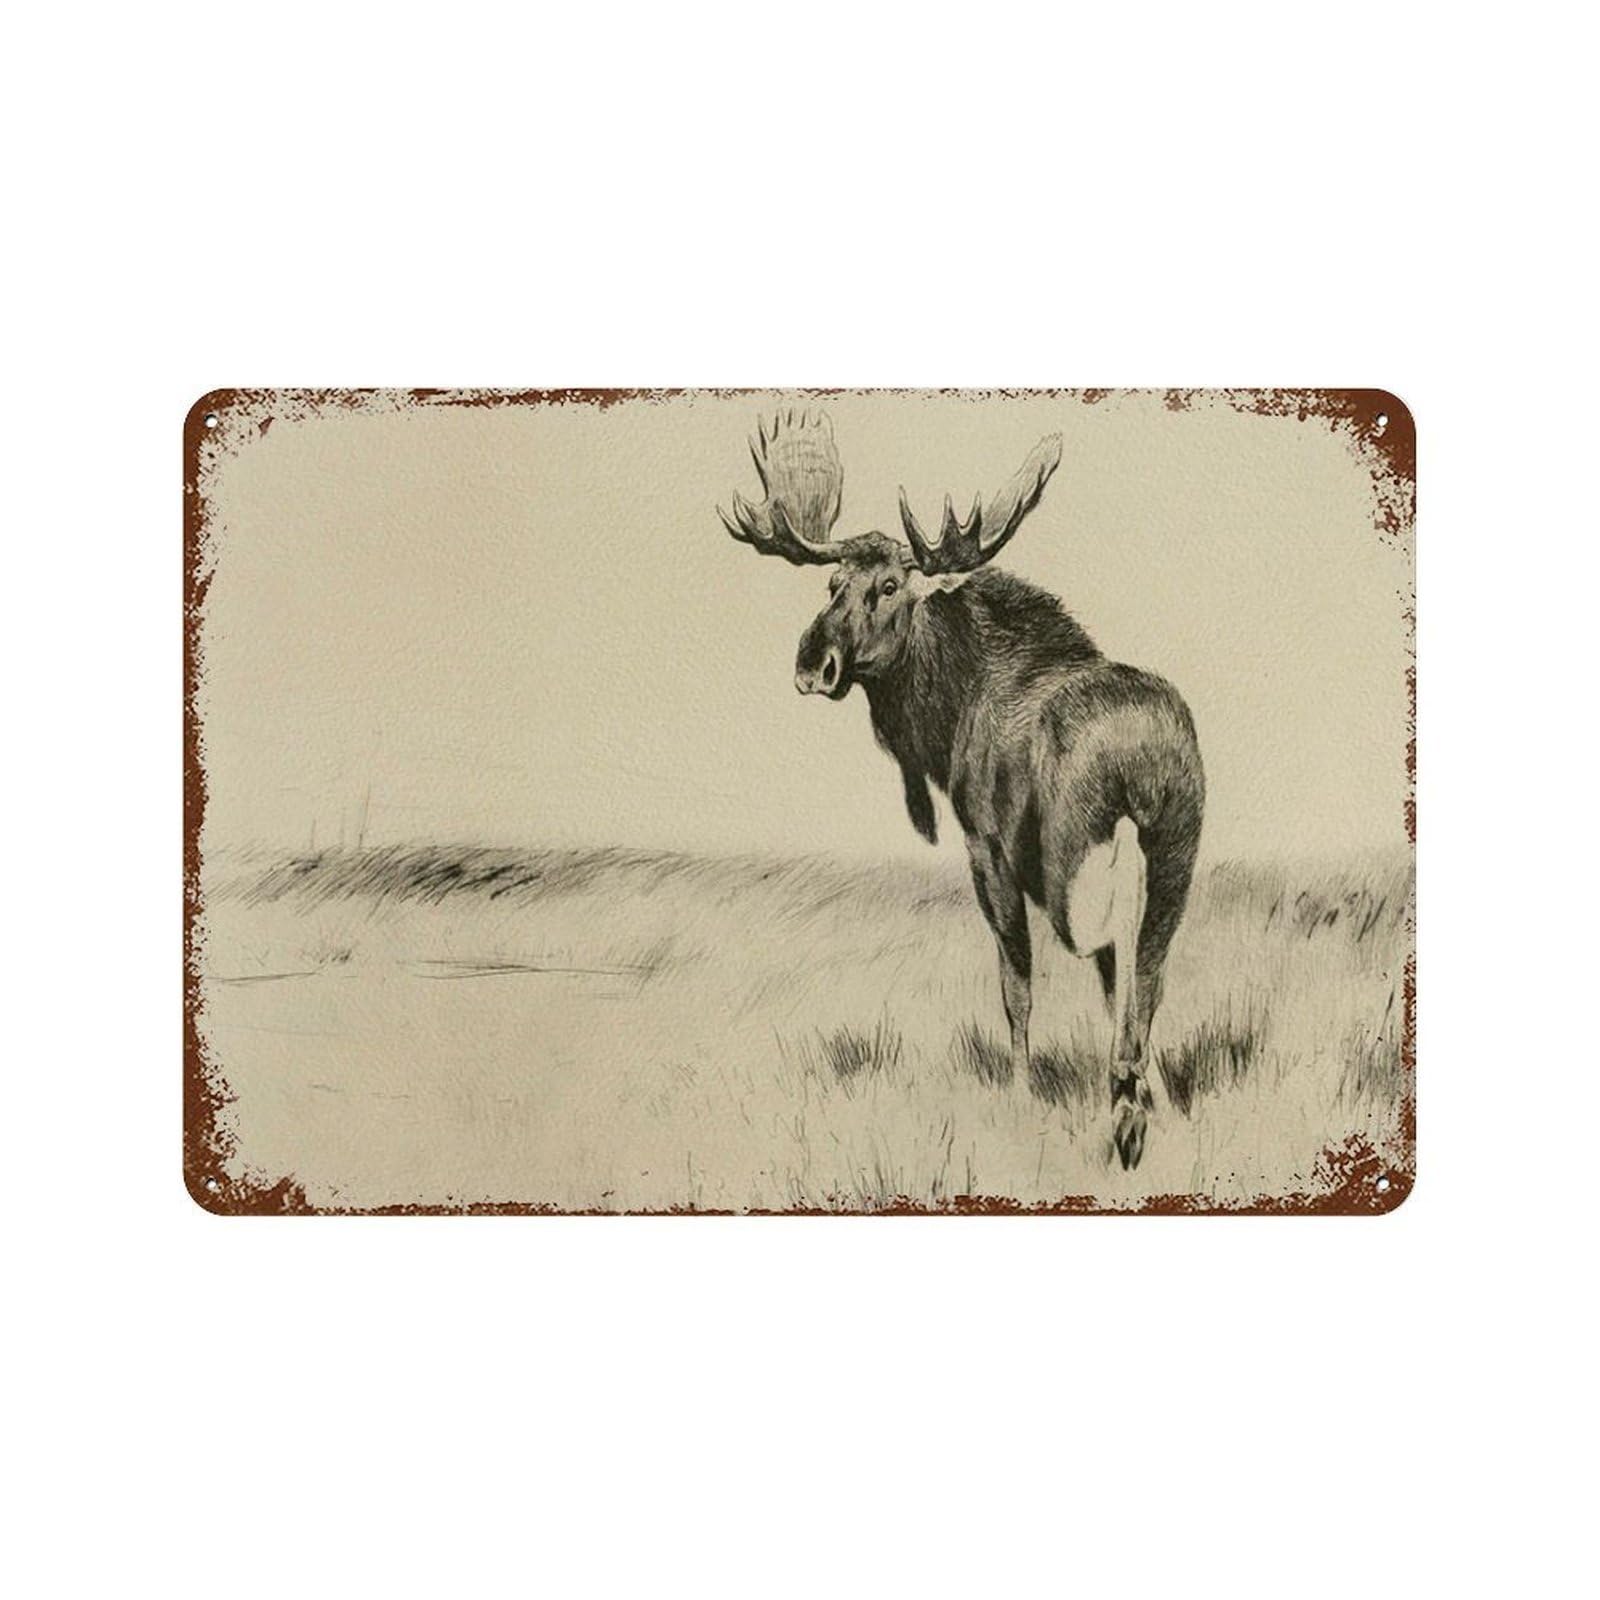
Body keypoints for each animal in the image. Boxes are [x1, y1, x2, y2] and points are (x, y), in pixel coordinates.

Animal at [718, 409, 1205, 1170]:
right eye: (831, 586)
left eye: (891, 586)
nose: (812, 662)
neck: (944, 722)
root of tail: (1138, 760)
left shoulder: (986, 846)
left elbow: (1017, 984)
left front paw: (1021, 1093)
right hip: (1175, 852)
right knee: (1145, 970)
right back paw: (1132, 1100)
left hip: (1075, 858)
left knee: (1113, 962)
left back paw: (1126, 1109)